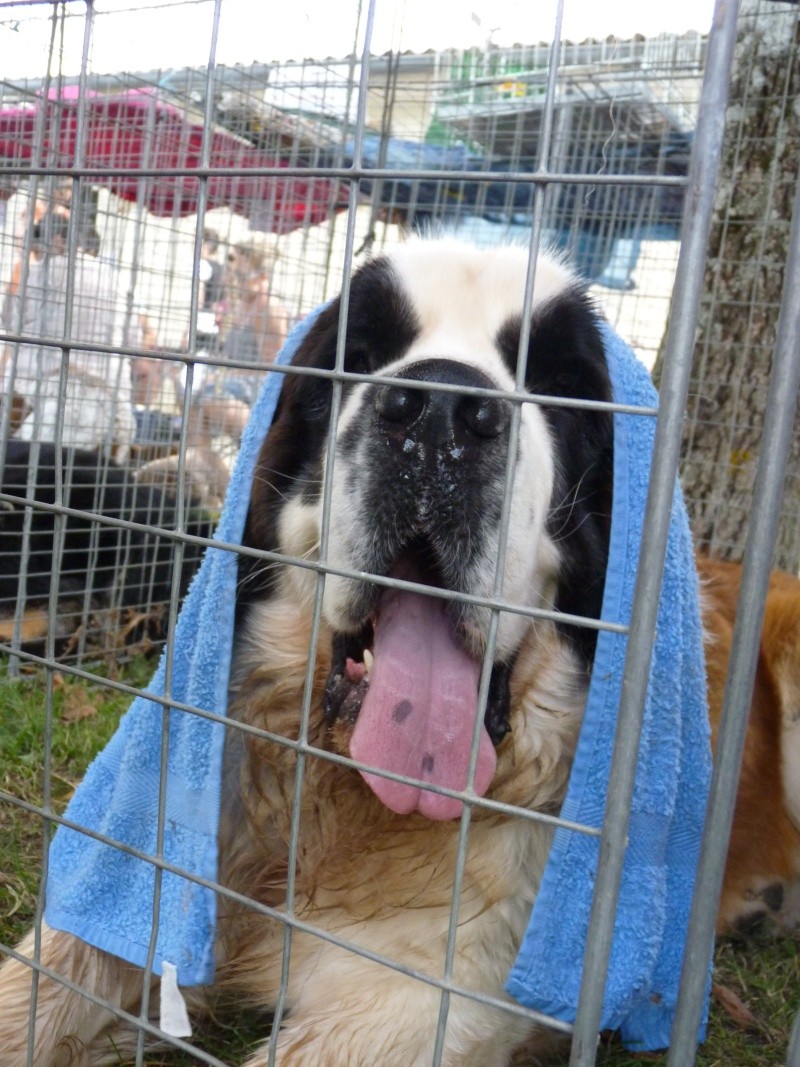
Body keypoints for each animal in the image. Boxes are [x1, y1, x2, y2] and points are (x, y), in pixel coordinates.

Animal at [1, 242, 800, 1067]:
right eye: (356, 360)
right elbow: (42, 978)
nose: (442, 412)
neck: (340, 805)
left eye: (559, 388)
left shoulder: (425, 997)